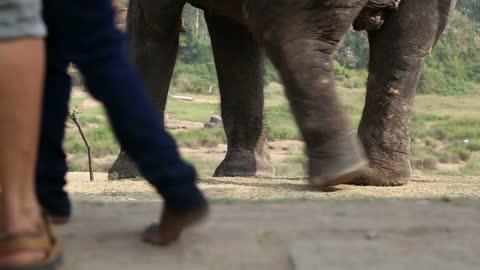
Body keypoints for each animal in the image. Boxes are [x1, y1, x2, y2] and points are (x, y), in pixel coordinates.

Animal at [109, 0, 458, 187]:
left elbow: (153, 24)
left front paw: (126, 174)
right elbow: (232, 32)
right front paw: (245, 173)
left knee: (296, 39)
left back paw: (339, 173)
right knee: (408, 45)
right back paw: (371, 175)